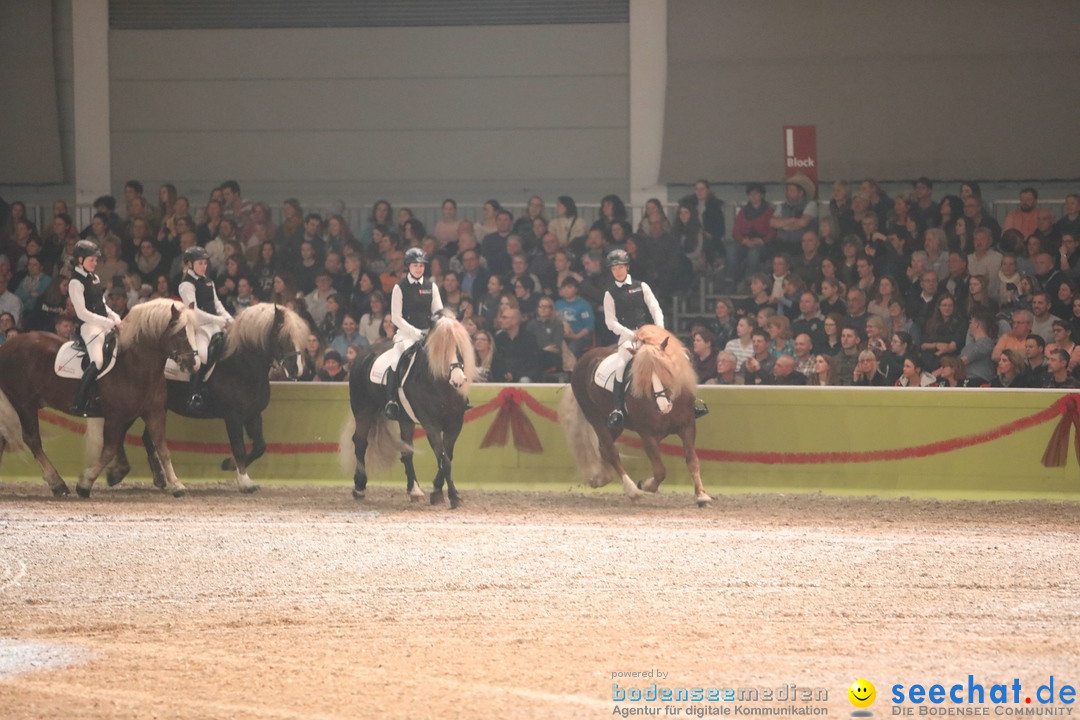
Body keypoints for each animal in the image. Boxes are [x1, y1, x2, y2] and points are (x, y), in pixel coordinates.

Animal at [0, 297, 200, 496]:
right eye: (179, 332)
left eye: (195, 331)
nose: (193, 364)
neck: (134, 367)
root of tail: (7, 346)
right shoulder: (115, 417)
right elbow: (109, 450)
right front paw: (85, 483)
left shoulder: (154, 413)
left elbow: (162, 448)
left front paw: (177, 485)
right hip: (25, 403)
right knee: (32, 439)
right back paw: (58, 484)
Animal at [103, 304, 308, 496]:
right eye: (283, 337)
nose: (297, 370)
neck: (241, 365)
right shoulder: (233, 417)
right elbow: (239, 448)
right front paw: (245, 482)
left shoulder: (253, 414)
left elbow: (260, 446)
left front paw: (229, 464)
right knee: (122, 434)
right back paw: (117, 473)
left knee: (146, 438)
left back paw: (159, 478)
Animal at [336, 313, 473, 509]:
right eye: (441, 350)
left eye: (460, 347)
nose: (458, 381)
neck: (439, 386)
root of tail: (364, 354)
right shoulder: (431, 425)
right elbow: (444, 460)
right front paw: (454, 496)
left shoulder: (455, 424)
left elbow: (447, 457)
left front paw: (436, 491)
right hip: (363, 410)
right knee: (360, 442)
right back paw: (360, 486)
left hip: (404, 419)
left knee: (406, 451)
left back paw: (414, 490)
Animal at [561, 325, 712, 507]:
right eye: (642, 376)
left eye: (667, 370)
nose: (664, 406)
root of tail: (584, 359)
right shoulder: (647, 435)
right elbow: (660, 471)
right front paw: (645, 485)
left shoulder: (687, 426)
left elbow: (692, 460)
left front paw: (701, 495)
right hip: (595, 417)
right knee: (611, 450)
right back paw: (632, 490)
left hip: (614, 426)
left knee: (603, 448)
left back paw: (601, 478)